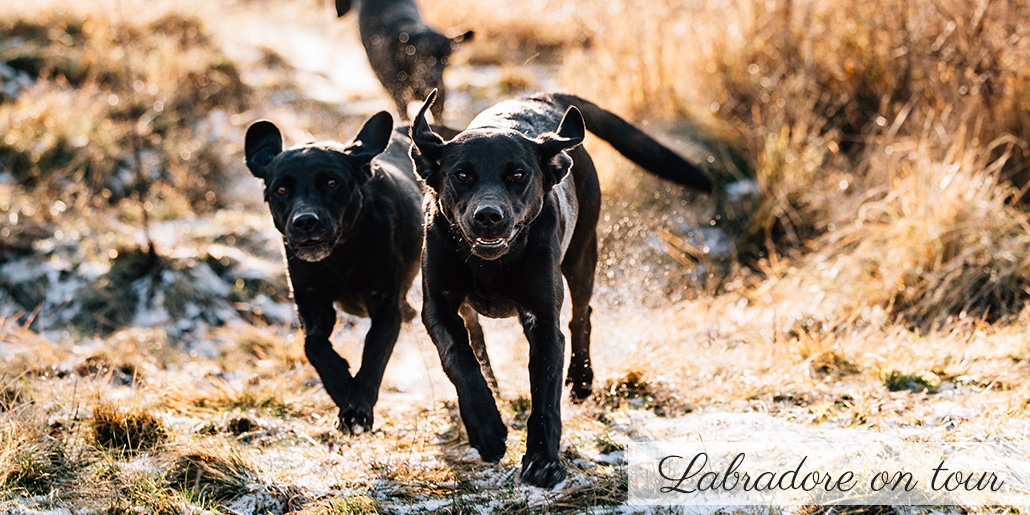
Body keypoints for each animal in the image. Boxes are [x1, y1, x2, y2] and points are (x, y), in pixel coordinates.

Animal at [409, 90, 716, 488]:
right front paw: (487, 429)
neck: (490, 265)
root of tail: (542, 97)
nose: (488, 216)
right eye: (461, 175)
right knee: (476, 338)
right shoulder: (438, 306)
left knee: (581, 315)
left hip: (583, 253)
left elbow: (545, 393)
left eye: (518, 175)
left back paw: (582, 380)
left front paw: (543, 462)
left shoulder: (542, 319)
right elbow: (459, 359)